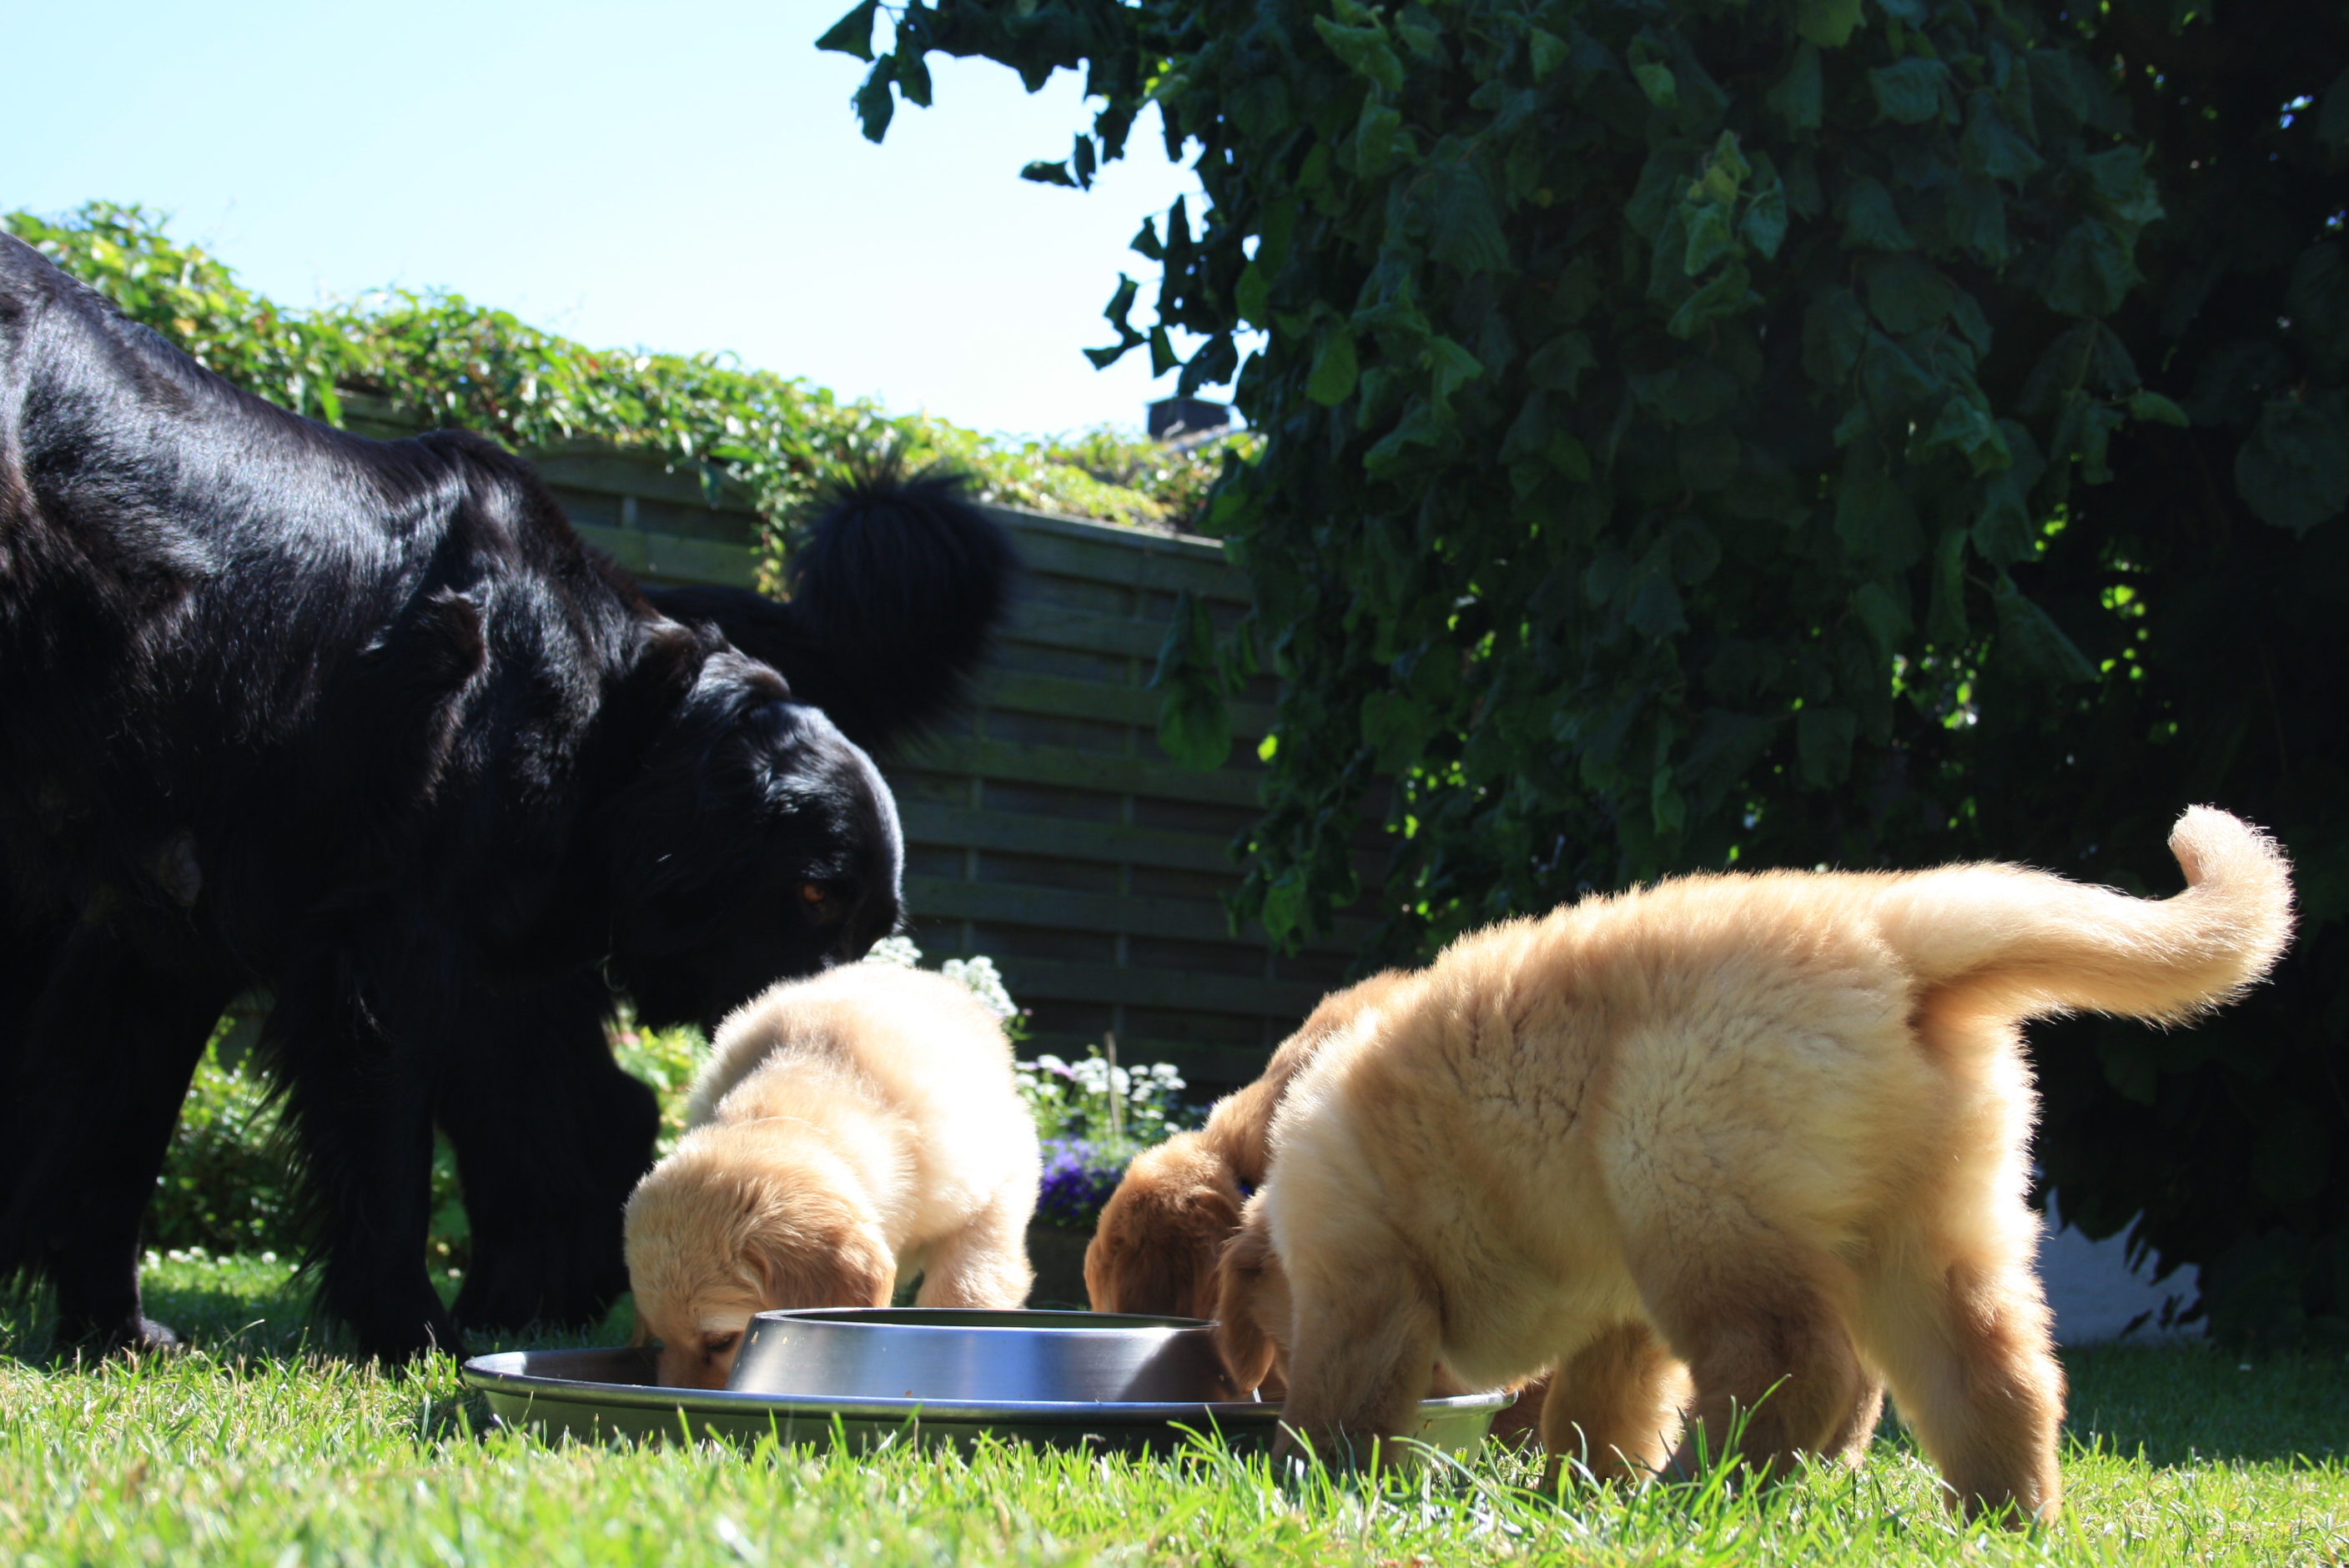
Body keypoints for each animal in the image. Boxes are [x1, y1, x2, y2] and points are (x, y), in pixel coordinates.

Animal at [0, 233, 1021, 1359]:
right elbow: (383, 1167)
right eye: (809, 892)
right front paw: (411, 1329)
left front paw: (114, 1330)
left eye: (872, 923)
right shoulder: (386, 943)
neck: (604, 705)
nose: (839, 1022)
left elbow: (112, 1143)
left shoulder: (166, 930)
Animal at [1218, 808, 2293, 1522]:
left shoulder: (1360, 1276)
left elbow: (1345, 1398)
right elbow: (1596, 1405)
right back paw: (1998, 1513)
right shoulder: (1615, 1315)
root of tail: (1888, 937)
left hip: (1690, 1184)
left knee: (1793, 1360)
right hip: (1923, 1225)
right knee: (1995, 1369)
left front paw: (1306, 1473)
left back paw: (1694, 1494)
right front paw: (1569, 1490)